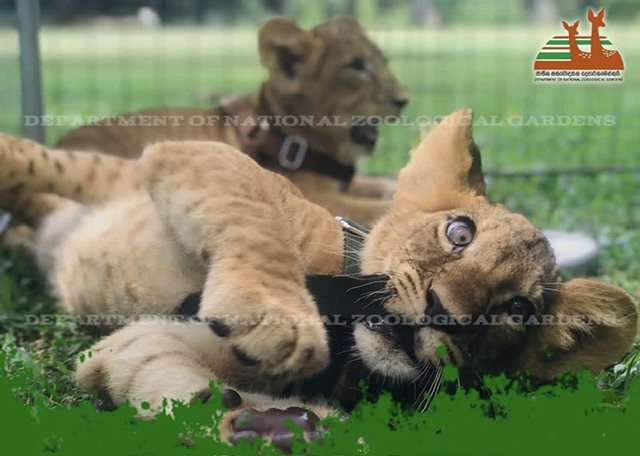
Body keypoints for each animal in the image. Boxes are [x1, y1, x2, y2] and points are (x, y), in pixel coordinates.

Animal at [0, 109, 636, 451]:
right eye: (459, 232)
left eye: (519, 310)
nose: (441, 311)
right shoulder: (214, 161)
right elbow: (254, 215)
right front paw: (275, 317)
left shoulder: (133, 343)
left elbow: (175, 380)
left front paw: (270, 427)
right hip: (119, 170)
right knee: (41, 163)